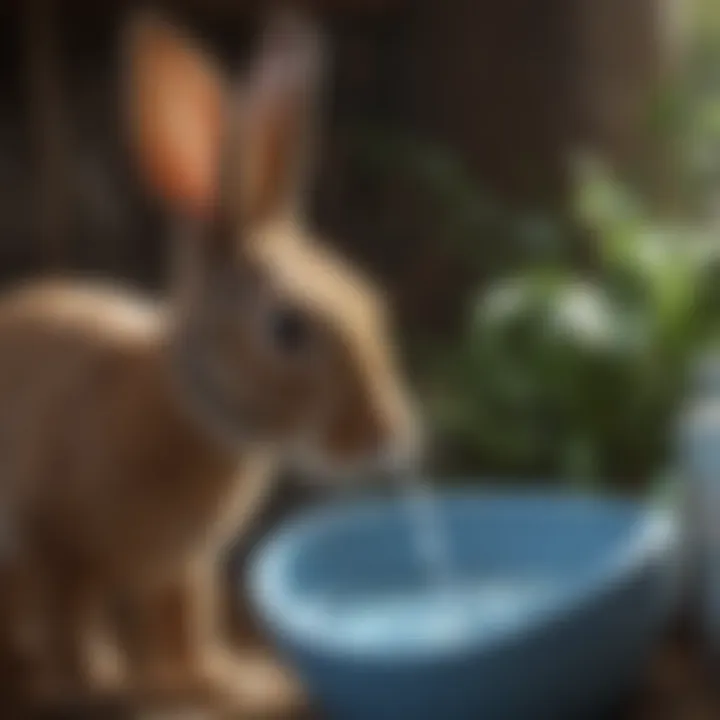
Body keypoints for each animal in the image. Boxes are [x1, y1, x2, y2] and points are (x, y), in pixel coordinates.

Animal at [0, 5, 422, 716]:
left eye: (365, 295)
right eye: (287, 328)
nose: (390, 433)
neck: (192, 408)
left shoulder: (182, 565)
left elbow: (183, 623)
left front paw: (222, 682)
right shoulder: (56, 543)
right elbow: (74, 628)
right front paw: (97, 686)